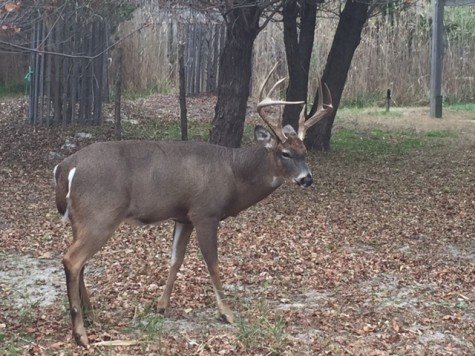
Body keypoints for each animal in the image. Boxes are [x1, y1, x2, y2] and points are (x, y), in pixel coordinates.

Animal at [54, 65, 332, 346]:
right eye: (285, 153)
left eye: (305, 151)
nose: (307, 178)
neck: (234, 173)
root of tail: (65, 167)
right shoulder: (205, 212)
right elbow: (212, 261)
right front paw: (227, 313)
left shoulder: (183, 216)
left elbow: (176, 259)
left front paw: (161, 305)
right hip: (101, 215)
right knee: (72, 259)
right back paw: (81, 334)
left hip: (81, 219)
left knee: (80, 263)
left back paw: (92, 317)